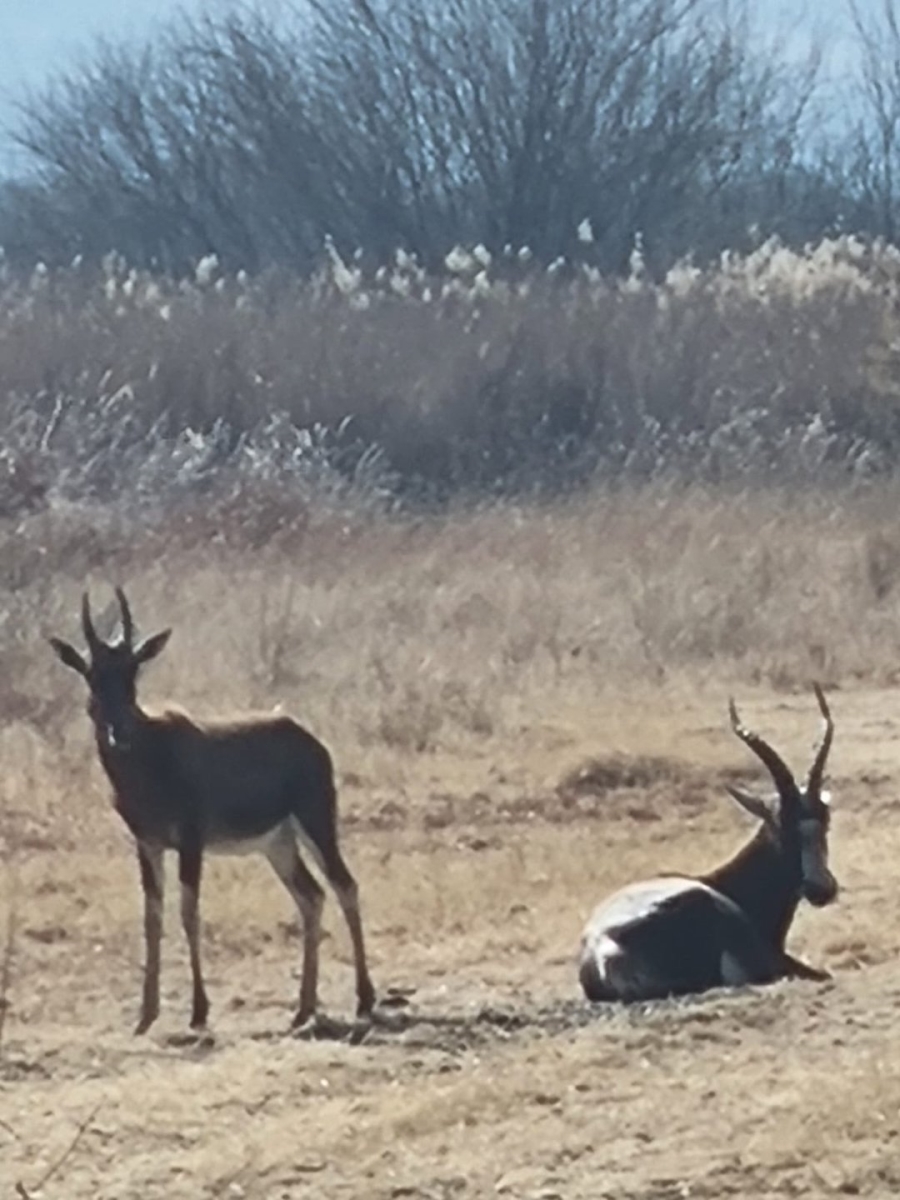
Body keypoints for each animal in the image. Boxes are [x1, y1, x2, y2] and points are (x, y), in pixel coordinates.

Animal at [51, 588, 374, 1032]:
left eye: (134, 670)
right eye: (91, 673)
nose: (120, 735)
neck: (152, 752)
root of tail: (309, 740)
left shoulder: (191, 842)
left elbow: (189, 913)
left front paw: (199, 1011)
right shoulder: (147, 844)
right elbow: (152, 917)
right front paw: (145, 1016)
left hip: (316, 822)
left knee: (345, 886)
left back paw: (364, 1000)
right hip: (278, 845)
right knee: (311, 896)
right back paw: (302, 1009)